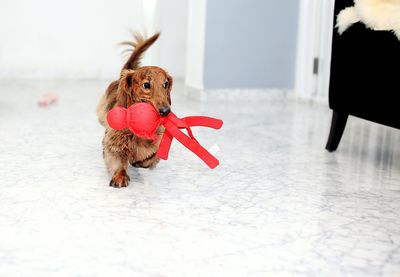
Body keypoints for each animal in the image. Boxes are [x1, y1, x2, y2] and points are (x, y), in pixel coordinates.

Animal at [97, 33, 173, 188]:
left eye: (166, 84)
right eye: (146, 85)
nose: (165, 111)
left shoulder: (158, 141)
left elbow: (152, 156)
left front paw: (140, 161)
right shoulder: (113, 143)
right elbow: (118, 161)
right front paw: (120, 177)